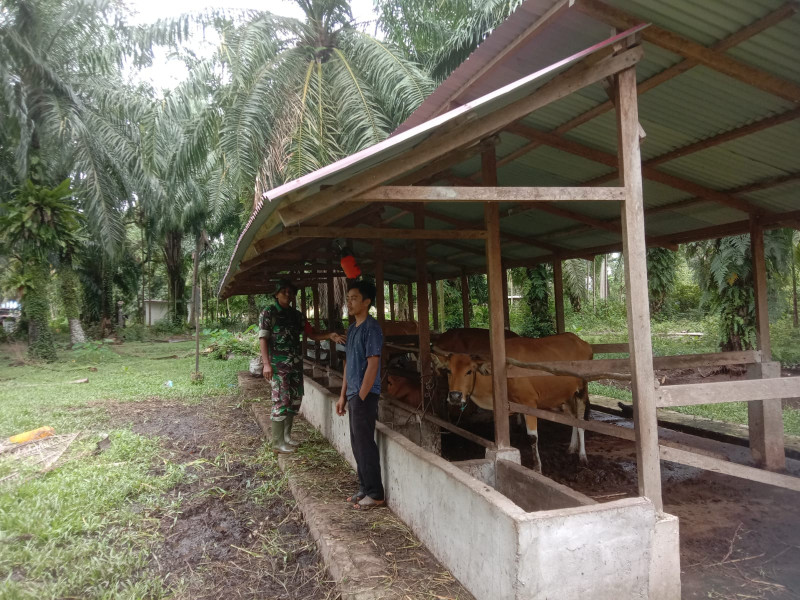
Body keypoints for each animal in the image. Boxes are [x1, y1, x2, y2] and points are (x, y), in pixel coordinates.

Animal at [434, 332, 592, 474]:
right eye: (448, 370)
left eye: (469, 371)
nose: (455, 396)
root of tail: (583, 342)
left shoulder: (529, 403)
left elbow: (533, 437)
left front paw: (537, 468)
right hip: (567, 395)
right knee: (573, 418)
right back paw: (572, 447)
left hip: (582, 390)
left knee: (581, 420)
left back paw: (583, 456)